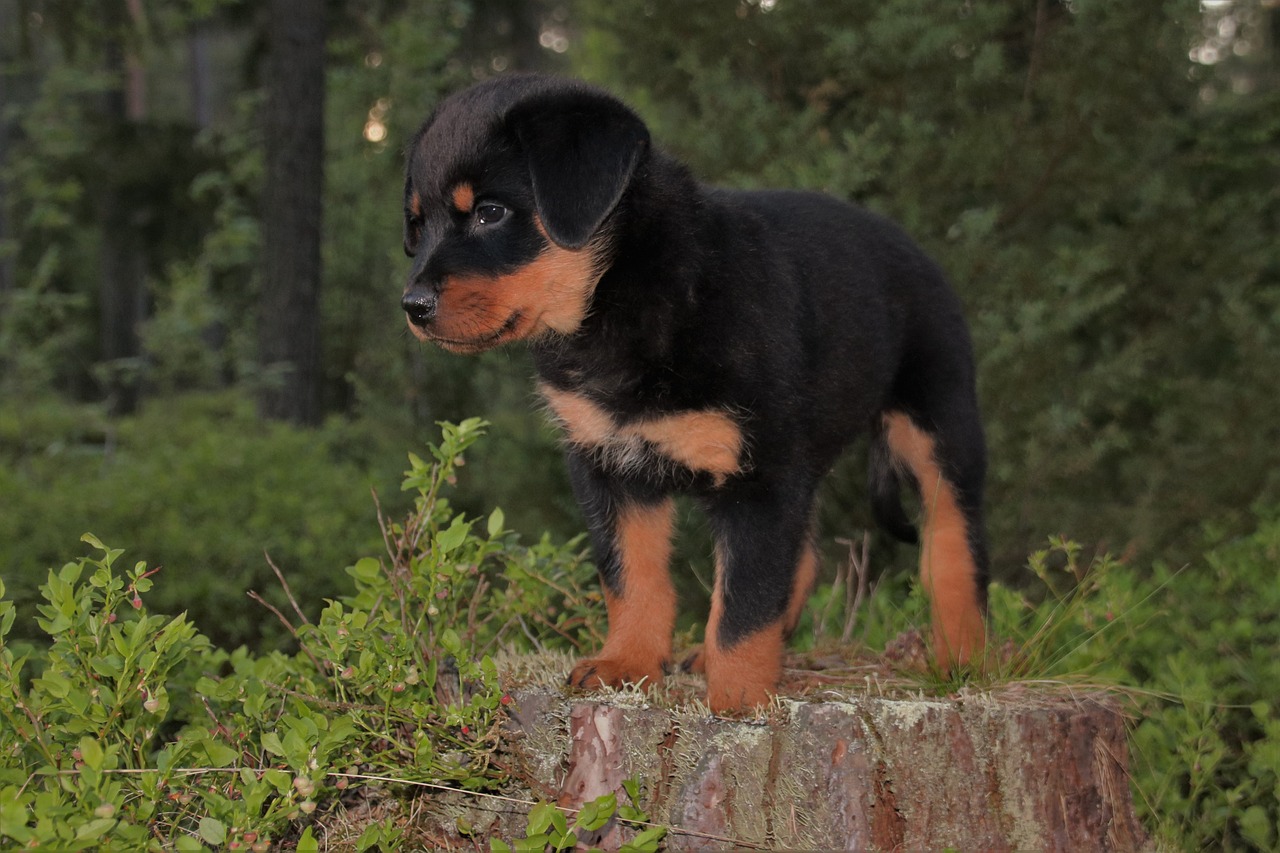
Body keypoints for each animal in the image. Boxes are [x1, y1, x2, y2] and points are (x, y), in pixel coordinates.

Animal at [401, 74, 988, 712]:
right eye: (418, 227)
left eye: (490, 212)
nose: (412, 306)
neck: (624, 295)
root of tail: (917, 250)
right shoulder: (608, 465)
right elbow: (631, 577)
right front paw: (627, 664)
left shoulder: (761, 475)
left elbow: (744, 602)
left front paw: (739, 701)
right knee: (805, 559)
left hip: (939, 424)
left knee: (954, 545)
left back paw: (961, 658)